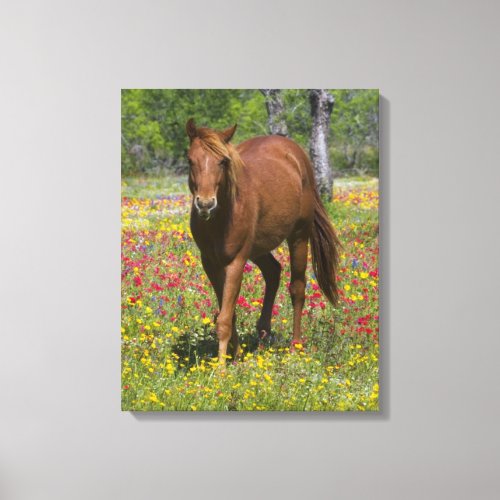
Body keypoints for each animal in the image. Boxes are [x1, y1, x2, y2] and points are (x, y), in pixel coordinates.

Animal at [186, 119, 342, 366]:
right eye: (190, 160)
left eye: (223, 161)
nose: (205, 204)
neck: (221, 218)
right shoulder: (210, 263)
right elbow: (228, 313)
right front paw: (235, 355)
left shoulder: (236, 262)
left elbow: (224, 318)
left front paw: (220, 369)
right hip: (258, 249)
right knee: (273, 272)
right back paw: (262, 334)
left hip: (298, 236)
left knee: (297, 288)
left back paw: (295, 347)